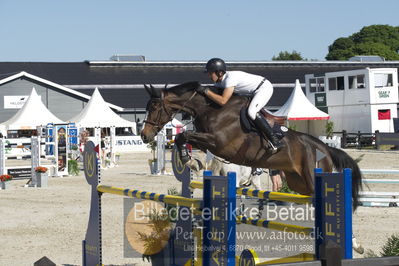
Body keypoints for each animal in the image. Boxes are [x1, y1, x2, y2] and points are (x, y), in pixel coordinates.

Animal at [142, 81, 364, 210]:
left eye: (154, 106)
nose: (145, 135)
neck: (211, 108)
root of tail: (324, 147)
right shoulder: (209, 143)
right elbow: (183, 139)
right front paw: (191, 162)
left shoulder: (218, 142)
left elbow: (184, 135)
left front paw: (189, 161)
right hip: (298, 182)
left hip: (313, 175)